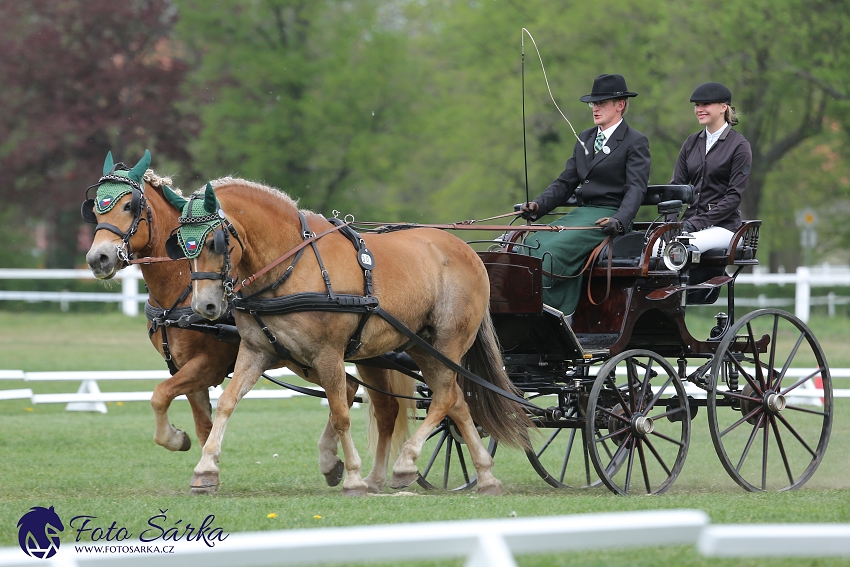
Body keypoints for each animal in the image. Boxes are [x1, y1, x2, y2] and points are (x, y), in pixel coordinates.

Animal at [83, 152, 410, 492]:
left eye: (129, 206)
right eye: (93, 209)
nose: (98, 259)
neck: (182, 287)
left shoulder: (207, 364)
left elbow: (159, 395)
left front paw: (178, 441)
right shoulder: (187, 366)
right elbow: (198, 421)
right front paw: (203, 464)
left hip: (363, 355)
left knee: (385, 409)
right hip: (307, 357)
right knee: (350, 390)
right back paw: (333, 462)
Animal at [179, 180, 528, 494]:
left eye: (216, 242)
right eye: (181, 244)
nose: (204, 305)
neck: (291, 264)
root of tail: (467, 250)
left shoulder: (328, 354)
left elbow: (340, 416)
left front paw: (353, 478)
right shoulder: (257, 351)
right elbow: (227, 402)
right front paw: (205, 470)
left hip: (447, 342)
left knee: (443, 398)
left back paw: (406, 464)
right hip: (421, 346)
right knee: (456, 401)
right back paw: (485, 476)